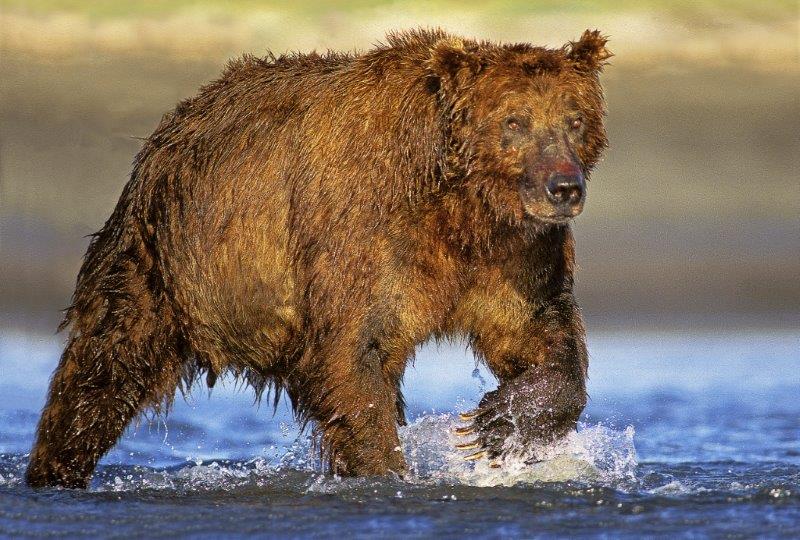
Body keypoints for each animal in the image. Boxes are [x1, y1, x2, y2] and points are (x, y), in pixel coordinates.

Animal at [26, 28, 610, 488]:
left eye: (574, 118)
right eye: (515, 121)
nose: (565, 187)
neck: (461, 210)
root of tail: (169, 128)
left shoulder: (513, 257)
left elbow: (542, 334)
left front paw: (497, 424)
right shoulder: (362, 239)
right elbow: (354, 356)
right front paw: (386, 469)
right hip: (165, 261)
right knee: (105, 366)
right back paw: (55, 470)